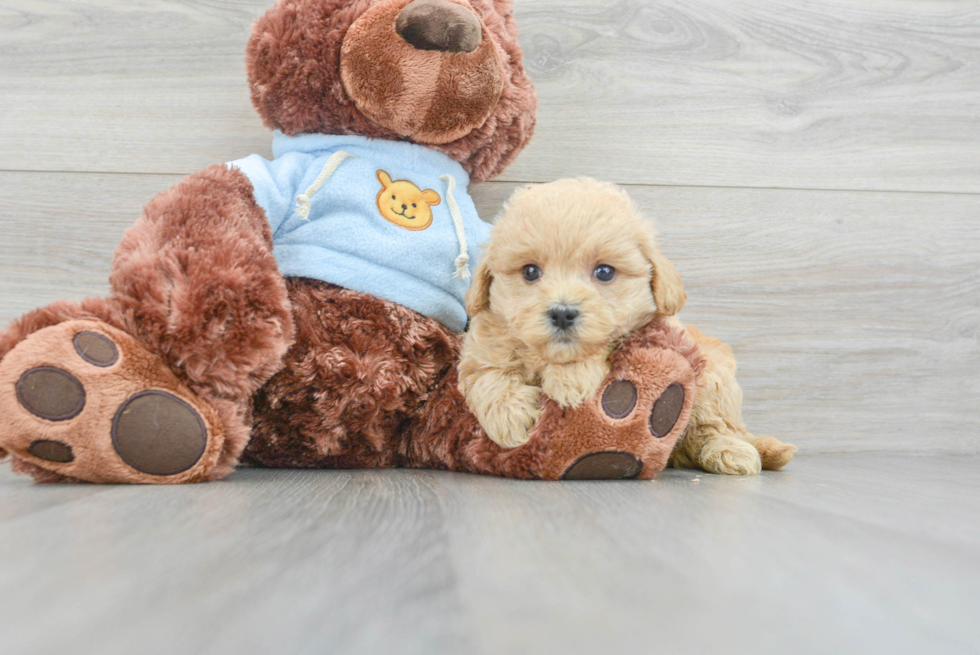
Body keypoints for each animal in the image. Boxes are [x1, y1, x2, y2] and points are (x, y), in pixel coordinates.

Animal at [460, 178, 796, 476]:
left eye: (605, 272)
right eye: (530, 271)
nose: (563, 313)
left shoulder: (654, 330)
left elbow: (606, 342)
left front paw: (570, 379)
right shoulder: (480, 347)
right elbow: (487, 376)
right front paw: (510, 418)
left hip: (712, 379)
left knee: (713, 427)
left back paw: (733, 452)